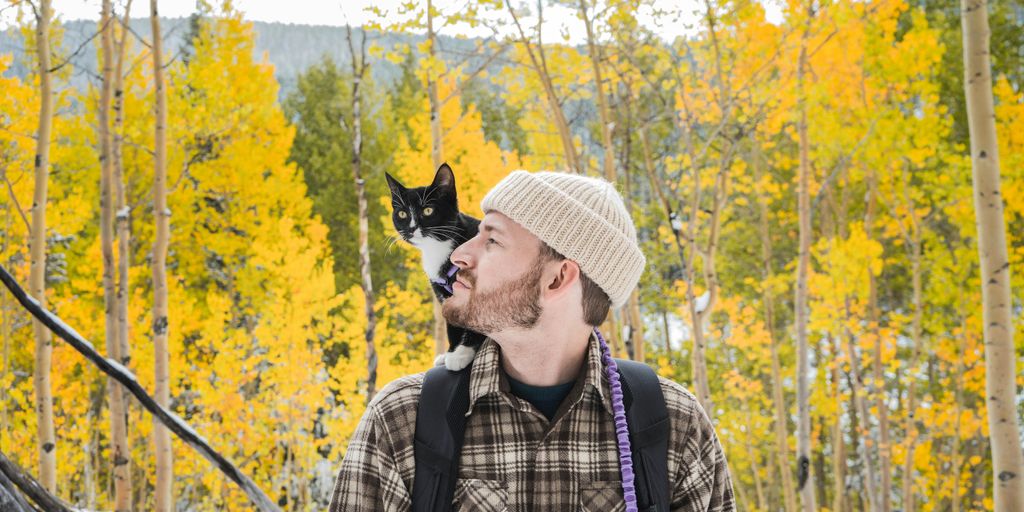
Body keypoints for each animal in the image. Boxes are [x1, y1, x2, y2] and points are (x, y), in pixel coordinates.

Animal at [385, 161, 489, 370]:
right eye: (402, 213)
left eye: (428, 210)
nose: (411, 228)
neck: (439, 248)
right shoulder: (444, 294)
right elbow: (452, 324)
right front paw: (450, 353)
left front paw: (461, 354)